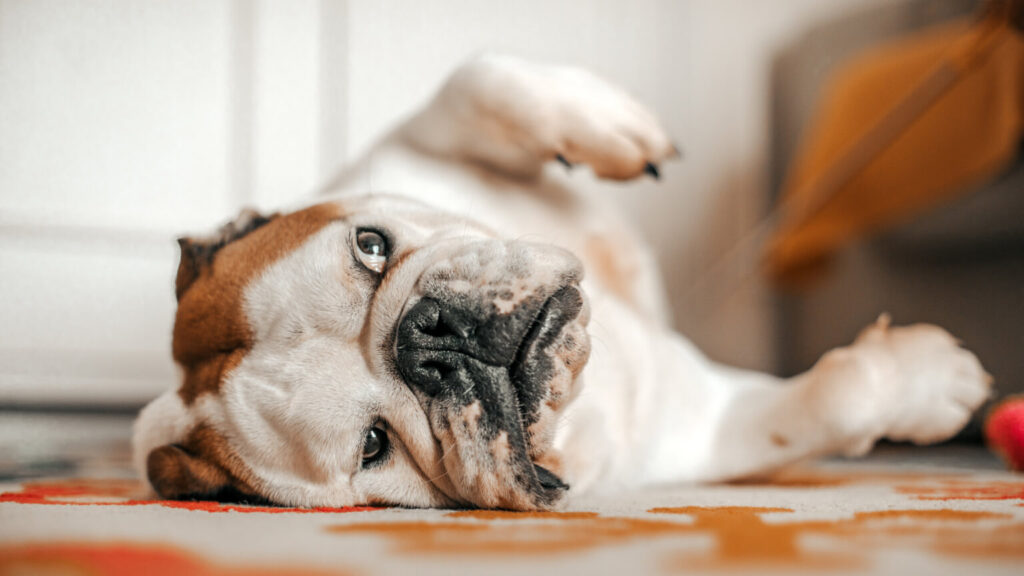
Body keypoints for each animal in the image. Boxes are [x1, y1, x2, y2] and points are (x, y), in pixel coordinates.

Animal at [132, 56, 987, 508]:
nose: (431, 342)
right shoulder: (703, 431)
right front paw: (933, 380)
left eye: (370, 247)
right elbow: (834, 400)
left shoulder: (410, 147)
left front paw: (612, 126)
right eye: (375, 447)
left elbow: (477, 81)